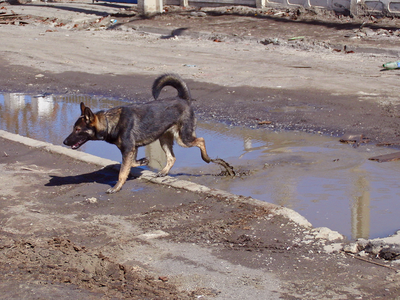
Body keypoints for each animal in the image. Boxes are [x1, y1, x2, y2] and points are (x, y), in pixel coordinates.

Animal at [63, 74, 212, 193]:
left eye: (77, 129)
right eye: (73, 128)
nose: (64, 142)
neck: (109, 122)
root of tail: (182, 98)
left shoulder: (128, 150)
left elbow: (122, 172)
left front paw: (116, 187)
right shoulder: (132, 150)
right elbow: (132, 164)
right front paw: (143, 161)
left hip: (183, 139)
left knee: (201, 140)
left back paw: (206, 158)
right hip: (164, 139)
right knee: (172, 157)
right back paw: (163, 172)